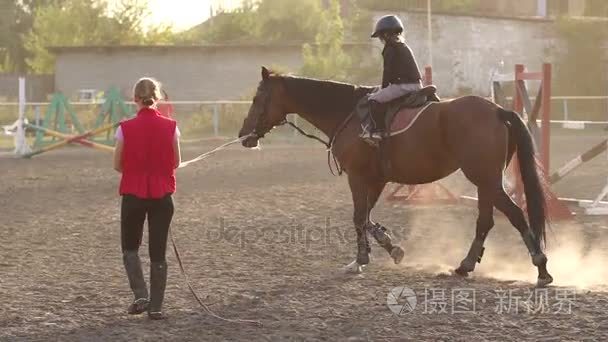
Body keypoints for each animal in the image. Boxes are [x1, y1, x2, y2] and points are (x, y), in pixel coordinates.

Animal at [240, 66, 552, 286]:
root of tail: (497, 110)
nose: (244, 136)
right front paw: (390, 247)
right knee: (487, 221)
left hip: (485, 179)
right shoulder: (376, 179)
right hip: (485, 182)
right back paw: (466, 266)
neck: (347, 113)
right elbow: (366, 216)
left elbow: (358, 217)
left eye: (257, 98)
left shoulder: (357, 177)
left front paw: (361, 260)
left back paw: (541, 268)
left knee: (514, 214)